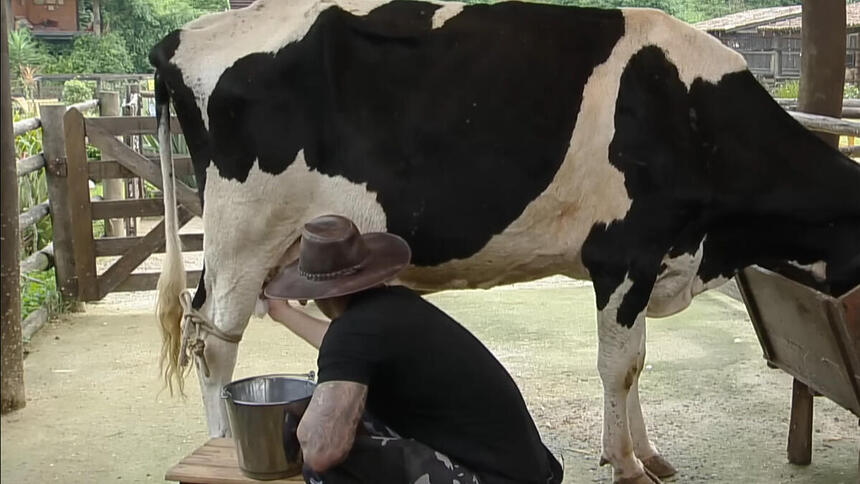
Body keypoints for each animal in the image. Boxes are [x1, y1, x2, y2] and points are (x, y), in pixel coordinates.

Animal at [148, 1, 860, 482]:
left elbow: (636, 363)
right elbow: (620, 366)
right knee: (214, 343)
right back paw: (223, 447)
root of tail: (187, 36)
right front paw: (625, 462)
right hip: (242, 230)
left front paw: (647, 452)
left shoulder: (656, 259)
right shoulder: (623, 253)